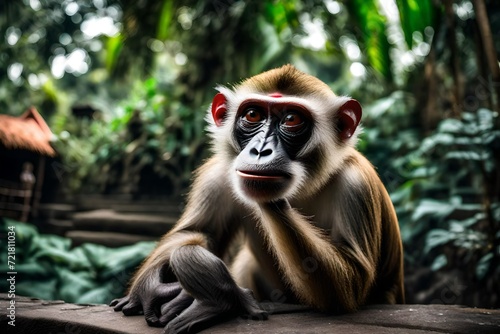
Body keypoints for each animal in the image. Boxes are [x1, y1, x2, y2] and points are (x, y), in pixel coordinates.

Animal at [109, 64, 402, 334]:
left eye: (292, 119)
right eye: (253, 115)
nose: (261, 151)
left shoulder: (357, 184)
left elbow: (351, 281)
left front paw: (217, 293)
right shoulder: (218, 174)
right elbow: (197, 232)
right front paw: (155, 286)